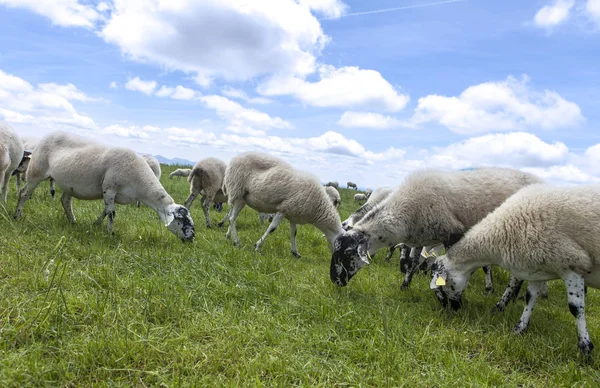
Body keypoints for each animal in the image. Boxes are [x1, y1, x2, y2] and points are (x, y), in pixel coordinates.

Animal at [14, 130, 195, 241]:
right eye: (183, 220)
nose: (192, 239)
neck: (140, 184)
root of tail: (47, 135)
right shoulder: (109, 189)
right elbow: (111, 213)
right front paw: (109, 233)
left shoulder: (112, 194)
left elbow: (105, 210)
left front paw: (96, 224)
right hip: (36, 171)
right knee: (24, 193)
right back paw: (17, 216)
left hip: (68, 183)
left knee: (65, 201)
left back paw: (73, 221)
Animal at [330, 168, 540, 290]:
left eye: (348, 252)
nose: (334, 280)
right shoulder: (419, 238)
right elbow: (413, 263)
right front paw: (405, 285)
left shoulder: (453, 234)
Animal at [432, 183, 600, 356]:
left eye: (444, 285)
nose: (452, 308)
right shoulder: (537, 272)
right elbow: (530, 298)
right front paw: (520, 328)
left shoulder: (572, 266)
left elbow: (575, 308)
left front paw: (585, 346)